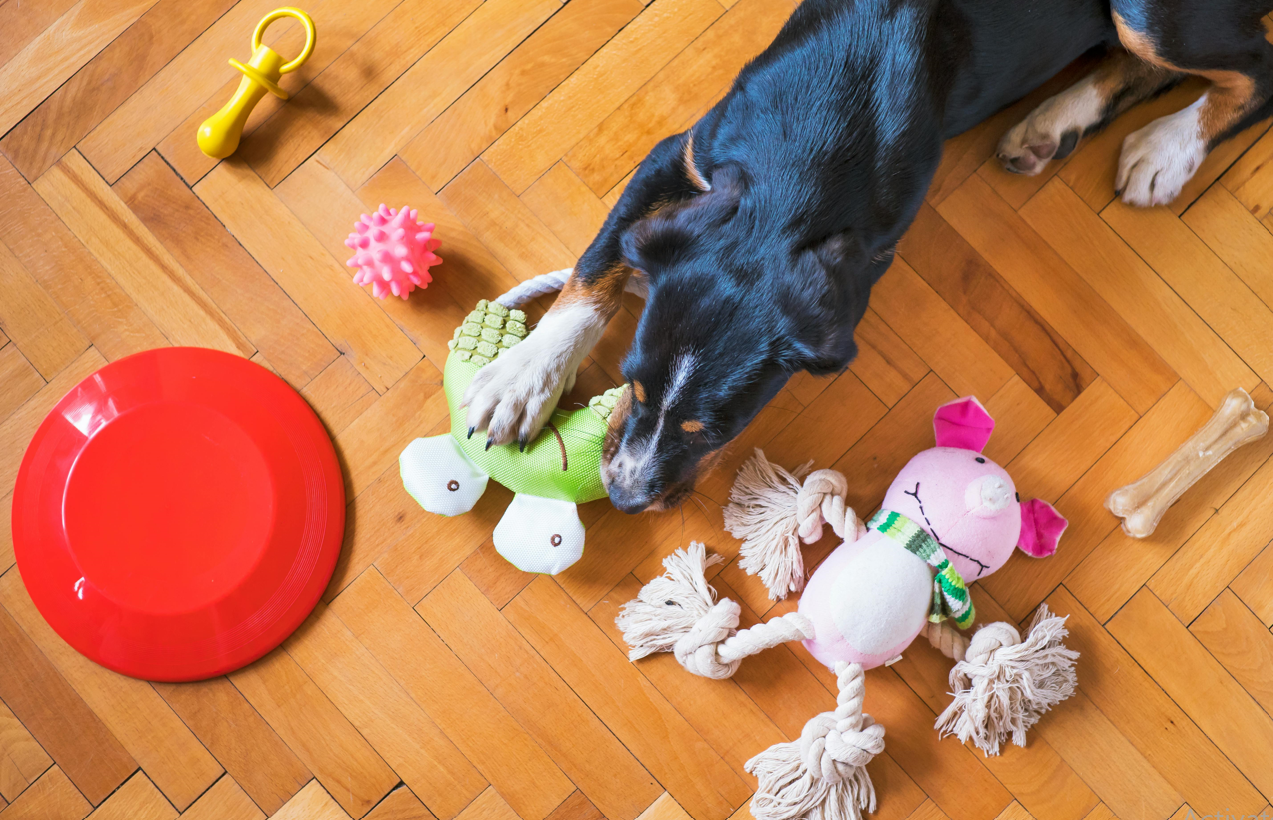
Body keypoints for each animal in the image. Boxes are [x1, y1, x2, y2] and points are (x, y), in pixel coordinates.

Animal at [465, 0, 1273, 511]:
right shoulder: (679, 154)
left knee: (1254, 70)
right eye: (630, 386)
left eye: (715, 431)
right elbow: (596, 264)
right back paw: (1054, 122)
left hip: (1146, 11)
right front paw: (521, 378)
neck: (816, 144)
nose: (626, 498)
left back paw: (1167, 148)